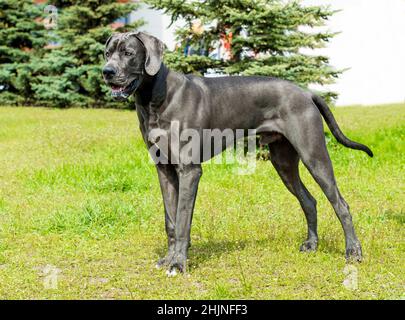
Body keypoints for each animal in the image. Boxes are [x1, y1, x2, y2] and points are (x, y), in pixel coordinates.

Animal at [102, 30, 372, 276]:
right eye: (107, 53)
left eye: (128, 53)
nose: (107, 71)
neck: (156, 96)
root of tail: (306, 92)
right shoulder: (165, 170)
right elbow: (170, 220)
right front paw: (168, 259)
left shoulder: (189, 171)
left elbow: (181, 223)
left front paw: (178, 264)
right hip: (283, 162)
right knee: (309, 200)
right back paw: (311, 245)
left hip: (314, 155)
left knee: (341, 204)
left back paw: (353, 252)